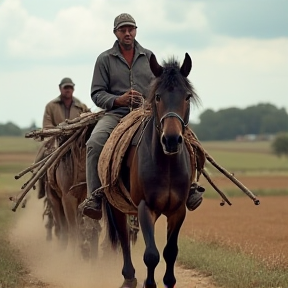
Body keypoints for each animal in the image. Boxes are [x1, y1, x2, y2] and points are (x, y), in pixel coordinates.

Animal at [103, 53, 200, 288]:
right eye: (157, 96)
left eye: (187, 97)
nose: (172, 140)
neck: (167, 165)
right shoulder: (145, 208)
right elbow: (151, 254)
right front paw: (149, 283)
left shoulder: (178, 210)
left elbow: (170, 251)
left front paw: (169, 281)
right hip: (118, 207)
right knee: (124, 240)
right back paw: (129, 277)